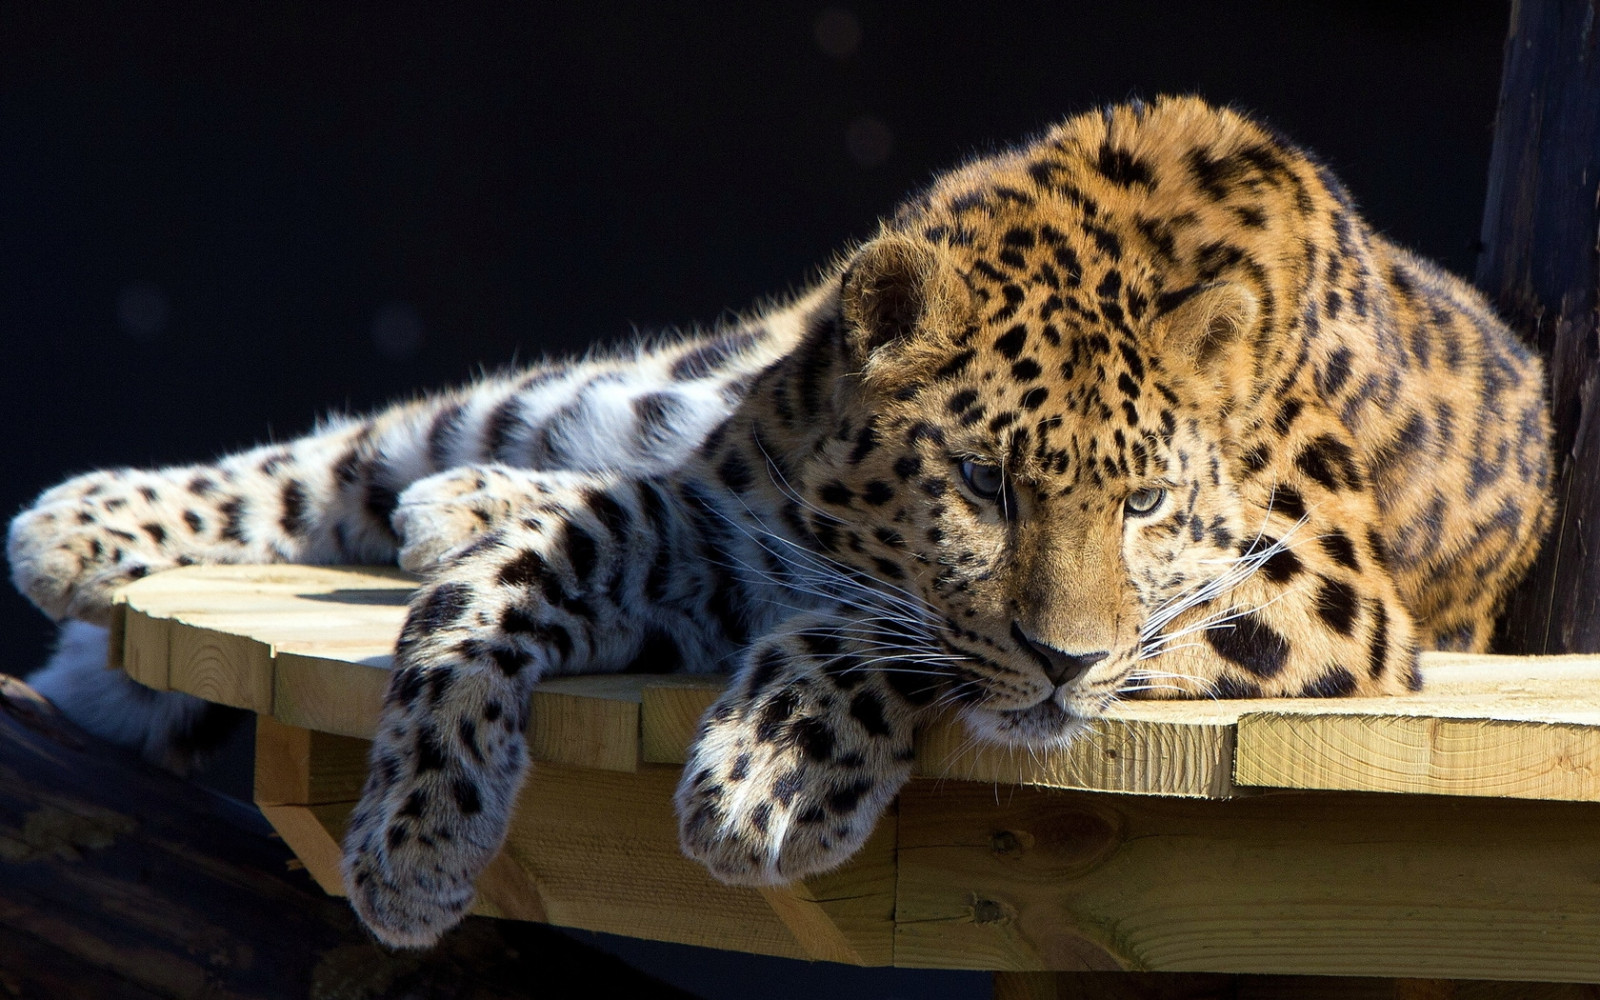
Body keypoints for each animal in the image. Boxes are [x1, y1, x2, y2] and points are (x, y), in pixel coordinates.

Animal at [9, 96, 1553, 949]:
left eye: (1147, 503)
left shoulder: (1320, 598)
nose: (1063, 667)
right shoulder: (724, 528)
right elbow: (503, 588)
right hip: (625, 396)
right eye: (982, 483)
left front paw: (769, 775)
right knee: (388, 442)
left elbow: (890, 635)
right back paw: (84, 530)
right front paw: (415, 831)